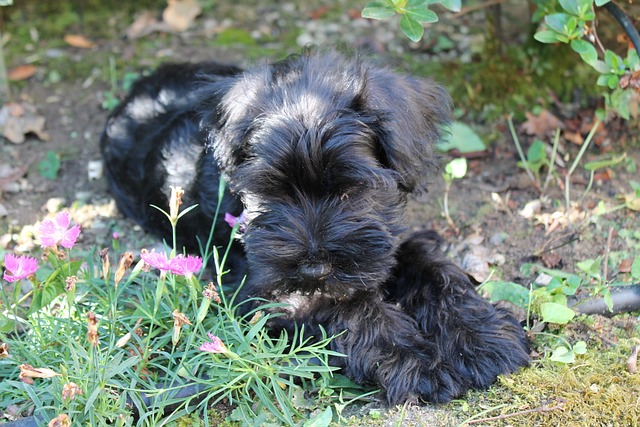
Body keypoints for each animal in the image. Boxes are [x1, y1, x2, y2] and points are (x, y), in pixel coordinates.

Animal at [101, 51, 528, 404]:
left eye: (351, 189)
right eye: (272, 191)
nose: (314, 268)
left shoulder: (389, 241)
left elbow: (436, 270)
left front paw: (481, 337)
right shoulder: (266, 290)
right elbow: (349, 309)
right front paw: (416, 360)